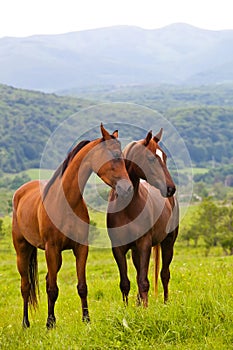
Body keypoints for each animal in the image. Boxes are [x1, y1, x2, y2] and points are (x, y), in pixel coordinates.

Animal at [11, 123, 133, 328]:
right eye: (114, 155)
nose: (128, 189)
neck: (66, 201)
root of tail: (20, 192)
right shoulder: (52, 249)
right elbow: (52, 289)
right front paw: (50, 324)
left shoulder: (81, 248)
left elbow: (81, 286)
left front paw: (86, 320)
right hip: (23, 250)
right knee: (25, 286)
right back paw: (25, 323)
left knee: (45, 280)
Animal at [106, 129, 179, 306]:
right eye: (151, 158)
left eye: (165, 157)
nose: (170, 188)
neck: (127, 208)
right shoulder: (118, 248)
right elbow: (125, 283)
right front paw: (127, 309)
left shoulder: (144, 244)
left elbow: (144, 282)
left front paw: (145, 310)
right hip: (135, 252)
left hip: (168, 242)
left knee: (164, 274)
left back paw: (166, 303)